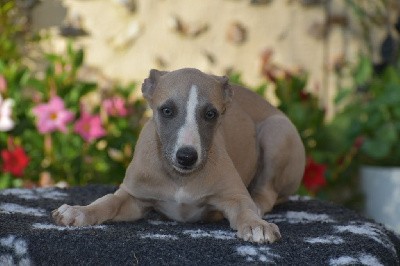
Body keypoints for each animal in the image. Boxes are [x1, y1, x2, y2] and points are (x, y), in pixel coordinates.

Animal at [51, 68, 304, 243]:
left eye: (210, 114)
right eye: (166, 110)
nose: (187, 157)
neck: (181, 178)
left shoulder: (234, 196)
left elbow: (244, 209)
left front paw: (255, 224)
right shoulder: (134, 196)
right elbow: (107, 201)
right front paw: (80, 211)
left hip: (277, 132)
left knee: (266, 194)